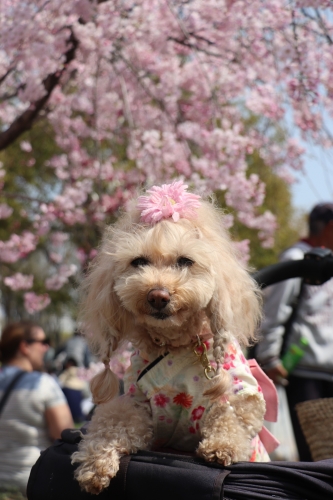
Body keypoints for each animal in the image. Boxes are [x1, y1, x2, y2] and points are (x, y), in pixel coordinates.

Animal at [72, 180, 268, 492]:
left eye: (185, 261)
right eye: (138, 262)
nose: (158, 296)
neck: (178, 342)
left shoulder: (241, 396)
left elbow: (231, 418)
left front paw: (220, 448)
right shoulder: (137, 401)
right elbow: (112, 424)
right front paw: (95, 464)